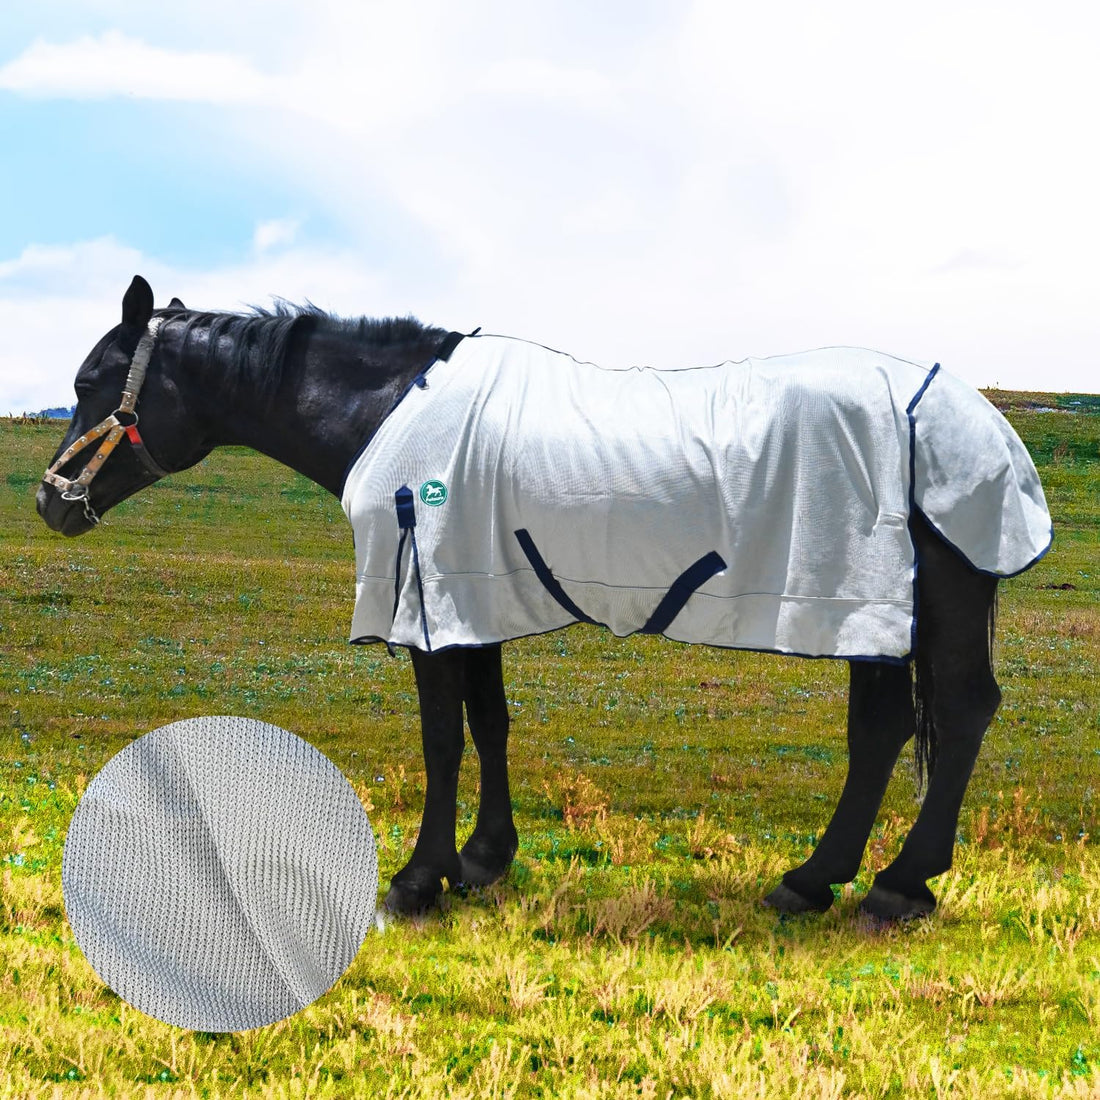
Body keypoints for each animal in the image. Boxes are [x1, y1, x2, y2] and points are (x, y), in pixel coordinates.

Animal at [38, 275, 1052, 923]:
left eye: (92, 381)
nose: (51, 502)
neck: (390, 409)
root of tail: (978, 420)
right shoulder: (467, 594)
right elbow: (489, 722)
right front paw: (484, 861)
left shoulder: (428, 598)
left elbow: (443, 737)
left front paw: (417, 880)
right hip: (868, 611)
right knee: (884, 729)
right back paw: (814, 880)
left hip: (911, 599)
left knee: (958, 713)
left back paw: (899, 887)